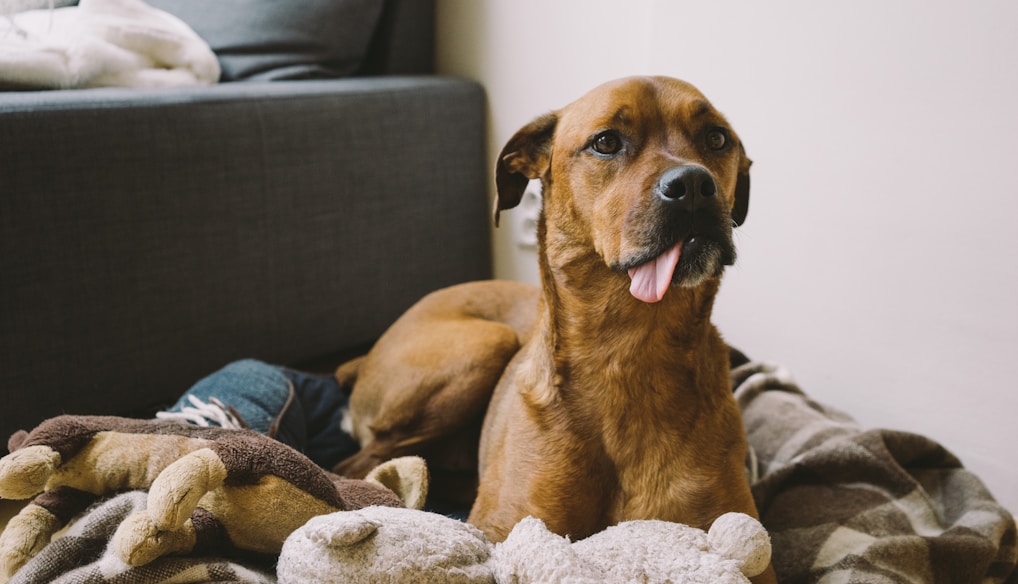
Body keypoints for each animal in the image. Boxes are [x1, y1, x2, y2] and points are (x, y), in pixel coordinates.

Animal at [337, 76, 773, 581]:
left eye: (717, 139)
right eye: (606, 142)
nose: (695, 185)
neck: (629, 353)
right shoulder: (508, 530)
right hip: (483, 347)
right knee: (359, 463)